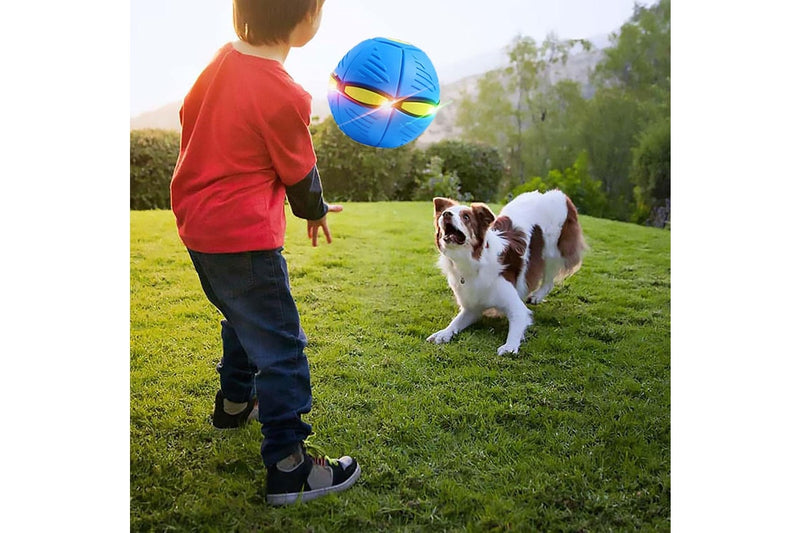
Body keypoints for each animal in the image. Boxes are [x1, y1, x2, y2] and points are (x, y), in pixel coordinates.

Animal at [424, 189, 588, 356]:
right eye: (445, 212)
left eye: (466, 217)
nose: (446, 214)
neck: (474, 262)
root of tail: (557, 194)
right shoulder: (472, 308)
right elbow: (456, 322)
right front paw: (443, 333)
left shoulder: (517, 308)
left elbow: (516, 325)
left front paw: (509, 346)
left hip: (552, 253)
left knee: (548, 281)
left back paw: (536, 296)